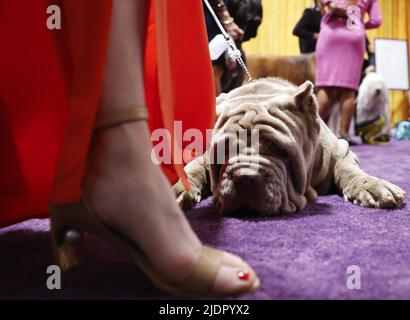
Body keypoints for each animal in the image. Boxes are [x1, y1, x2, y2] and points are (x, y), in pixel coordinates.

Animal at [172, 77, 404, 215]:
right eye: (223, 151)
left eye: (277, 149)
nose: (244, 177)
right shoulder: (203, 157)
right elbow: (192, 169)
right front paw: (178, 189)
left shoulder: (341, 151)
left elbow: (348, 170)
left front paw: (372, 186)